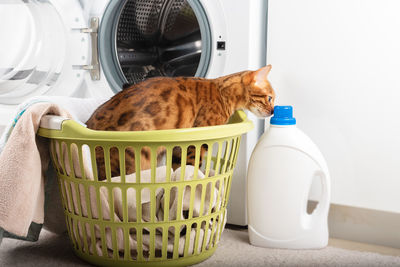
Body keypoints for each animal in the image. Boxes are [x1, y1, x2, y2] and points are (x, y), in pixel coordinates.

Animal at [85, 65, 276, 181]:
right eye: (269, 98)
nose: (273, 111)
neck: (222, 91)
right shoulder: (197, 142)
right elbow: (191, 168)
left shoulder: (179, 149)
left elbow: (177, 170)